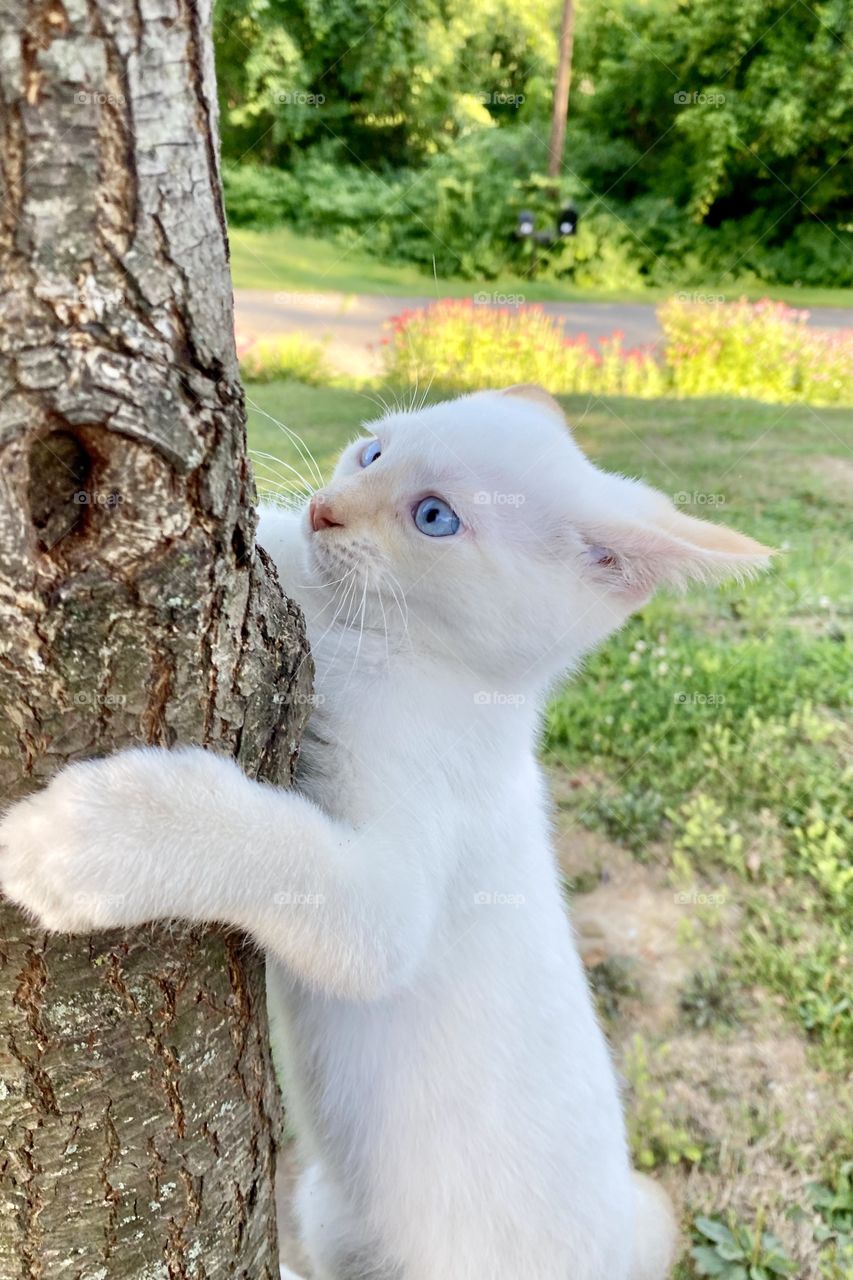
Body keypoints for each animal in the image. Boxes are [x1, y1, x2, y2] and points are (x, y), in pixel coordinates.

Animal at [1, 384, 768, 1274]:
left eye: (433, 517)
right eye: (372, 451)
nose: (327, 509)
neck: (385, 647)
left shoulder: (387, 906)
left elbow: (286, 860)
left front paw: (80, 841)